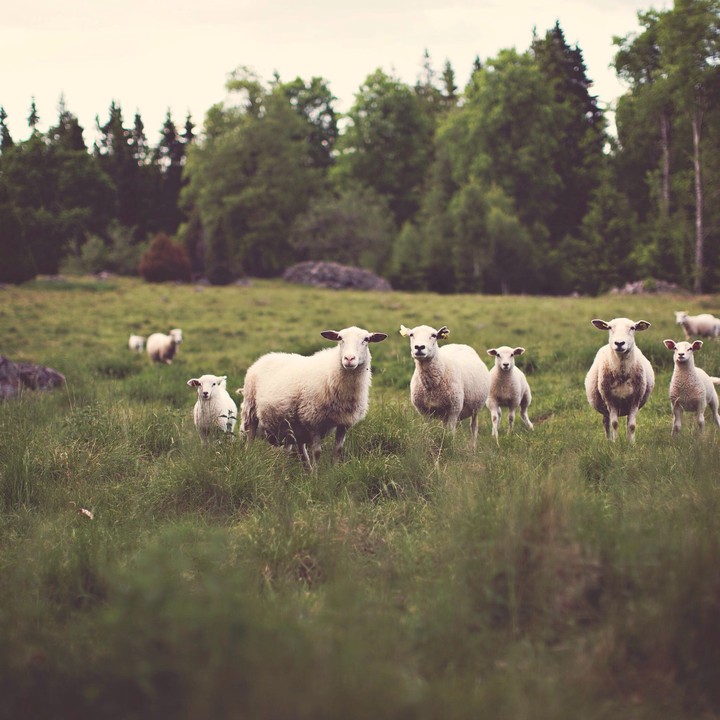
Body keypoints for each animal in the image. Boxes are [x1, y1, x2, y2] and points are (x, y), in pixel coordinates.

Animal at [239, 326, 388, 468]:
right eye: (340, 338)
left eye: (366, 339)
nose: (349, 359)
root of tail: (265, 357)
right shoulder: (314, 421)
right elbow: (317, 453)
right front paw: (316, 476)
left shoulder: (344, 423)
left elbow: (338, 450)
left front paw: (334, 471)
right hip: (251, 409)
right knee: (250, 437)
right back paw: (247, 458)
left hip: (294, 425)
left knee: (298, 448)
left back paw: (303, 469)